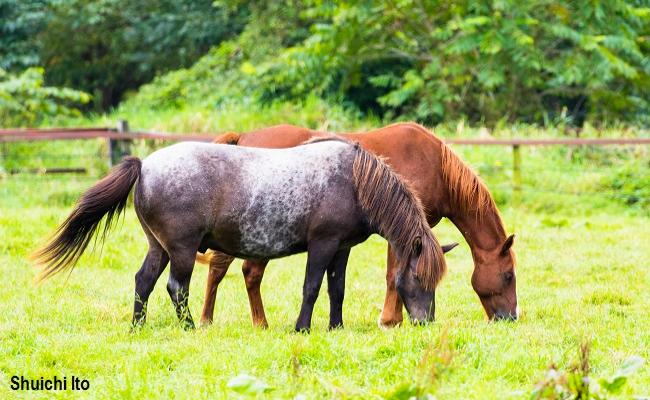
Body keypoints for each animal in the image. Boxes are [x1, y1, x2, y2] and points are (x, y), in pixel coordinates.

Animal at [35, 138, 448, 332]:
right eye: (418, 277)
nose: (425, 322)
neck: (353, 180)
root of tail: (145, 166)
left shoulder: (341, 249)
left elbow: (337, 288)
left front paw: (336, 327)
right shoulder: (322, 245)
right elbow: (312, 286)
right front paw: (302, 328)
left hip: (159, 247)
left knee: (144, 281)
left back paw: (139, 326)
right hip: (181, 249)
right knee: (176, 287)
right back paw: (190, 328)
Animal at [200, 122, 520, 328]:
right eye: (508, 276)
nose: (511, 317)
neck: (435, 166)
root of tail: (243, 136)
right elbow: (393, 276)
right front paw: (390, 320)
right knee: (233, 270)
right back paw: (223, 320)